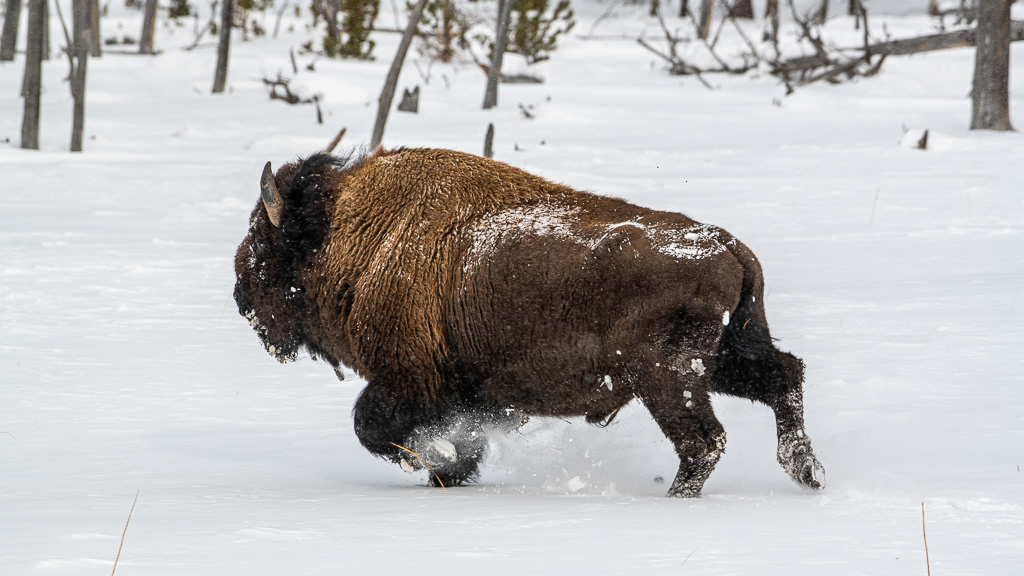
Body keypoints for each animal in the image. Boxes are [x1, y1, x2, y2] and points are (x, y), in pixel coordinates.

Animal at [232, 146, 823, 494]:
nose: (240, 296)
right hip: (723, 357)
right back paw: (807, 474)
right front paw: (448, 470)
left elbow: (373, 427)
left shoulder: (408, 377)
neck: (359, 234)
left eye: (263, 243)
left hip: (666, 376)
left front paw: (431, 461)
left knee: (704, 440)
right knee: (783, 378)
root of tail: (729, 246)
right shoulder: (461, 390)